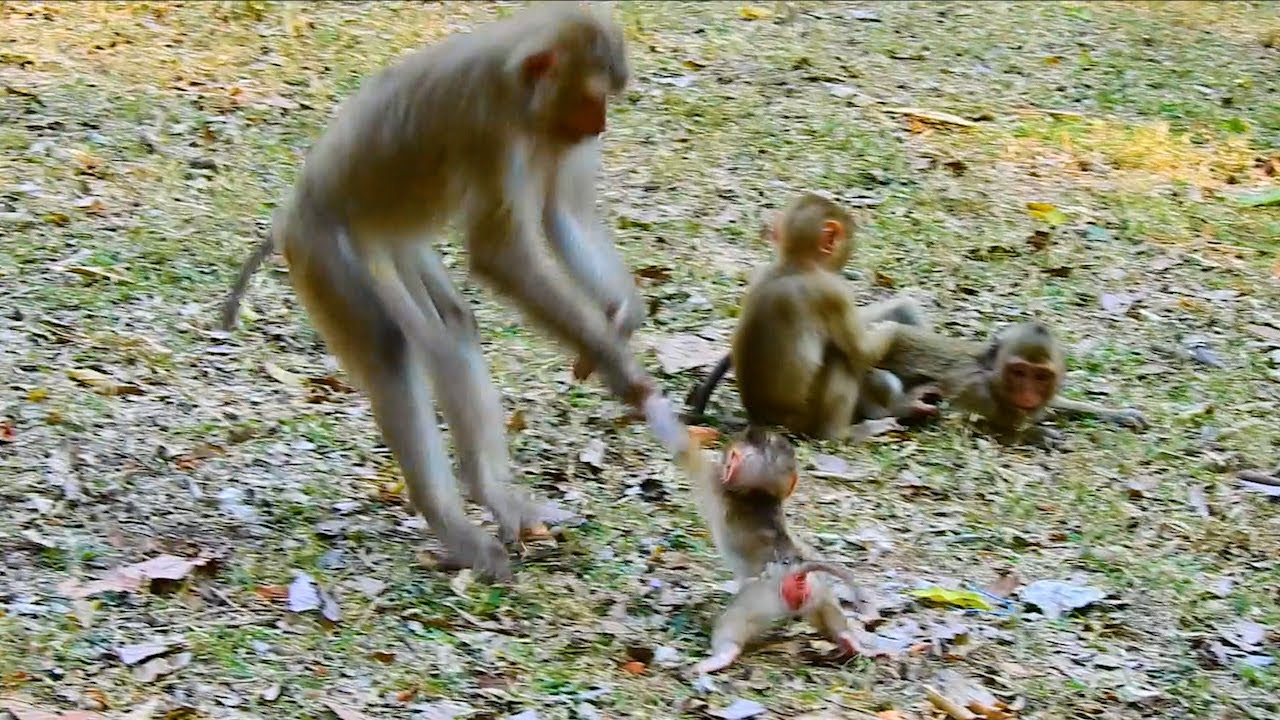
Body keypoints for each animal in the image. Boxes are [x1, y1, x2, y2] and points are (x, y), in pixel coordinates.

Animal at [214, 5, 688, 582]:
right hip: (326, 251)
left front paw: (619, 318)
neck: (518, 88)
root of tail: (290, 213)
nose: (600, 126)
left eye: (606, 98)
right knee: (390, 349)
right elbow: (500, 255)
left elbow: (562, 214)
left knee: (450, 325)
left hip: (392, 242)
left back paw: (494, 495)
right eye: (590, 96)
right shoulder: (490, 130)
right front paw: (619, 367)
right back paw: (453, 524)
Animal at [691, 427, 865, 673]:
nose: (725, 460)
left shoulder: (713, 480)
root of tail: (796, 569)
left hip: (761, 599)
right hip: (818, 591)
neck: (758, 494)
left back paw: (721, 656)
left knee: (734, 619)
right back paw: (849, 641)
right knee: (828, 610)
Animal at [872, 320, 1148, 447]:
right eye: (1018, 372)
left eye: (1041, 376)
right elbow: (952, 424)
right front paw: (1033, 434)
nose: (1027, 394)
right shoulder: (974, 388)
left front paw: (1117, 414)